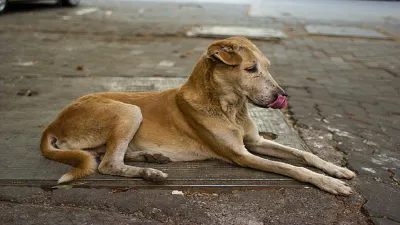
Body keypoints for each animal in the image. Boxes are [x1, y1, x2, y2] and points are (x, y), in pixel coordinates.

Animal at [39, 37, 354, 195]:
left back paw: (150, 157)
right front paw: (330, 183)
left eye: (267, 67)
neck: (230, 108)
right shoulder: (241, 155)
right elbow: (292, 168)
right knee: (107, 164)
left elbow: (304, 155)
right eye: (251, 69)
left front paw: (336, 170)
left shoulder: (255, 141)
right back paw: (150, 172)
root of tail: (53, 123)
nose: (283, 95)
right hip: (128, 110)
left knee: (105, 155)